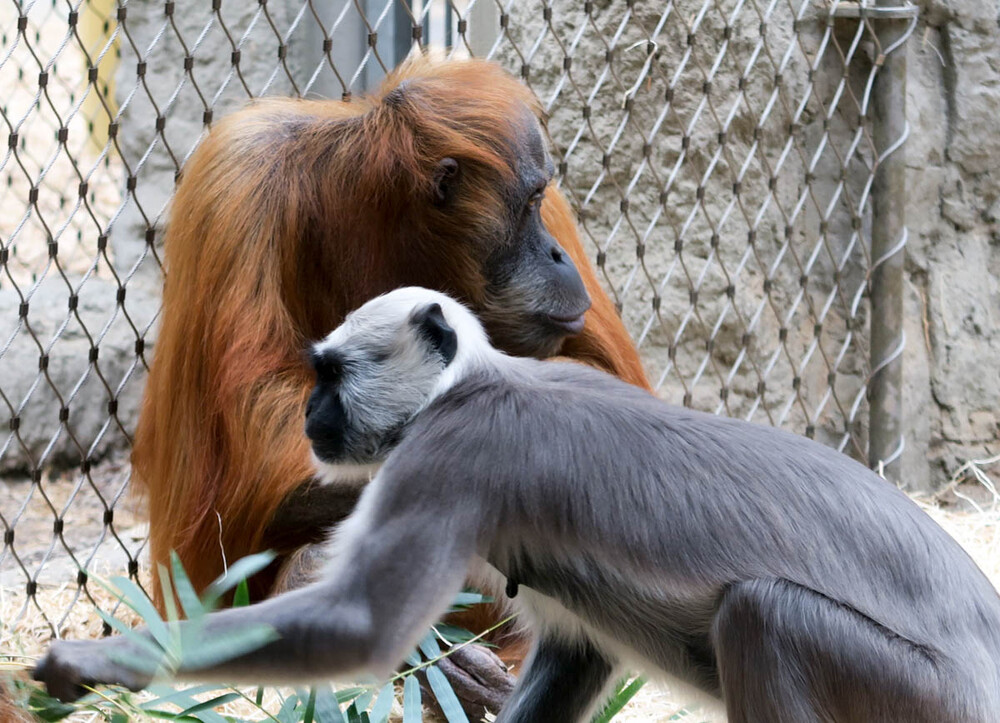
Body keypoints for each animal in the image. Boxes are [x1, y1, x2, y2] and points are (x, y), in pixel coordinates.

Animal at [35, 286, 1000, 720]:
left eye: (331, 375)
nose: (309, 414)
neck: (476, 380)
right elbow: (572, 652)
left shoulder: (452, 454)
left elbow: (361, 624)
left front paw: (106, 660)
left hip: (909, 689)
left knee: (763, 612)